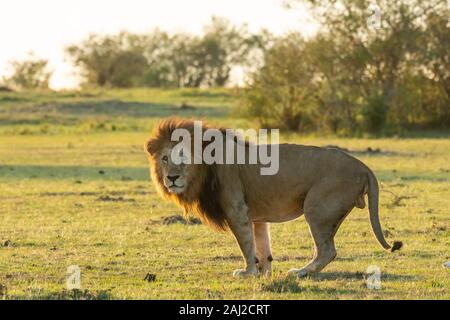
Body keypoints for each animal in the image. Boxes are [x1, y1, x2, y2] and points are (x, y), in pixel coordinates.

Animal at [146, 118, 402, 278]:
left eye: (183, 157)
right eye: (165, 158)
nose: (172, 178)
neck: (204, 169)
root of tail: (363, 167)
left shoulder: (237, 210)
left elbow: (246, 245)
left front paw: (247, 272)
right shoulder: (256, 217)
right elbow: (262, 247)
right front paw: (263, 273)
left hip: (316, 208)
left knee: (327, 250)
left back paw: (300, 272)